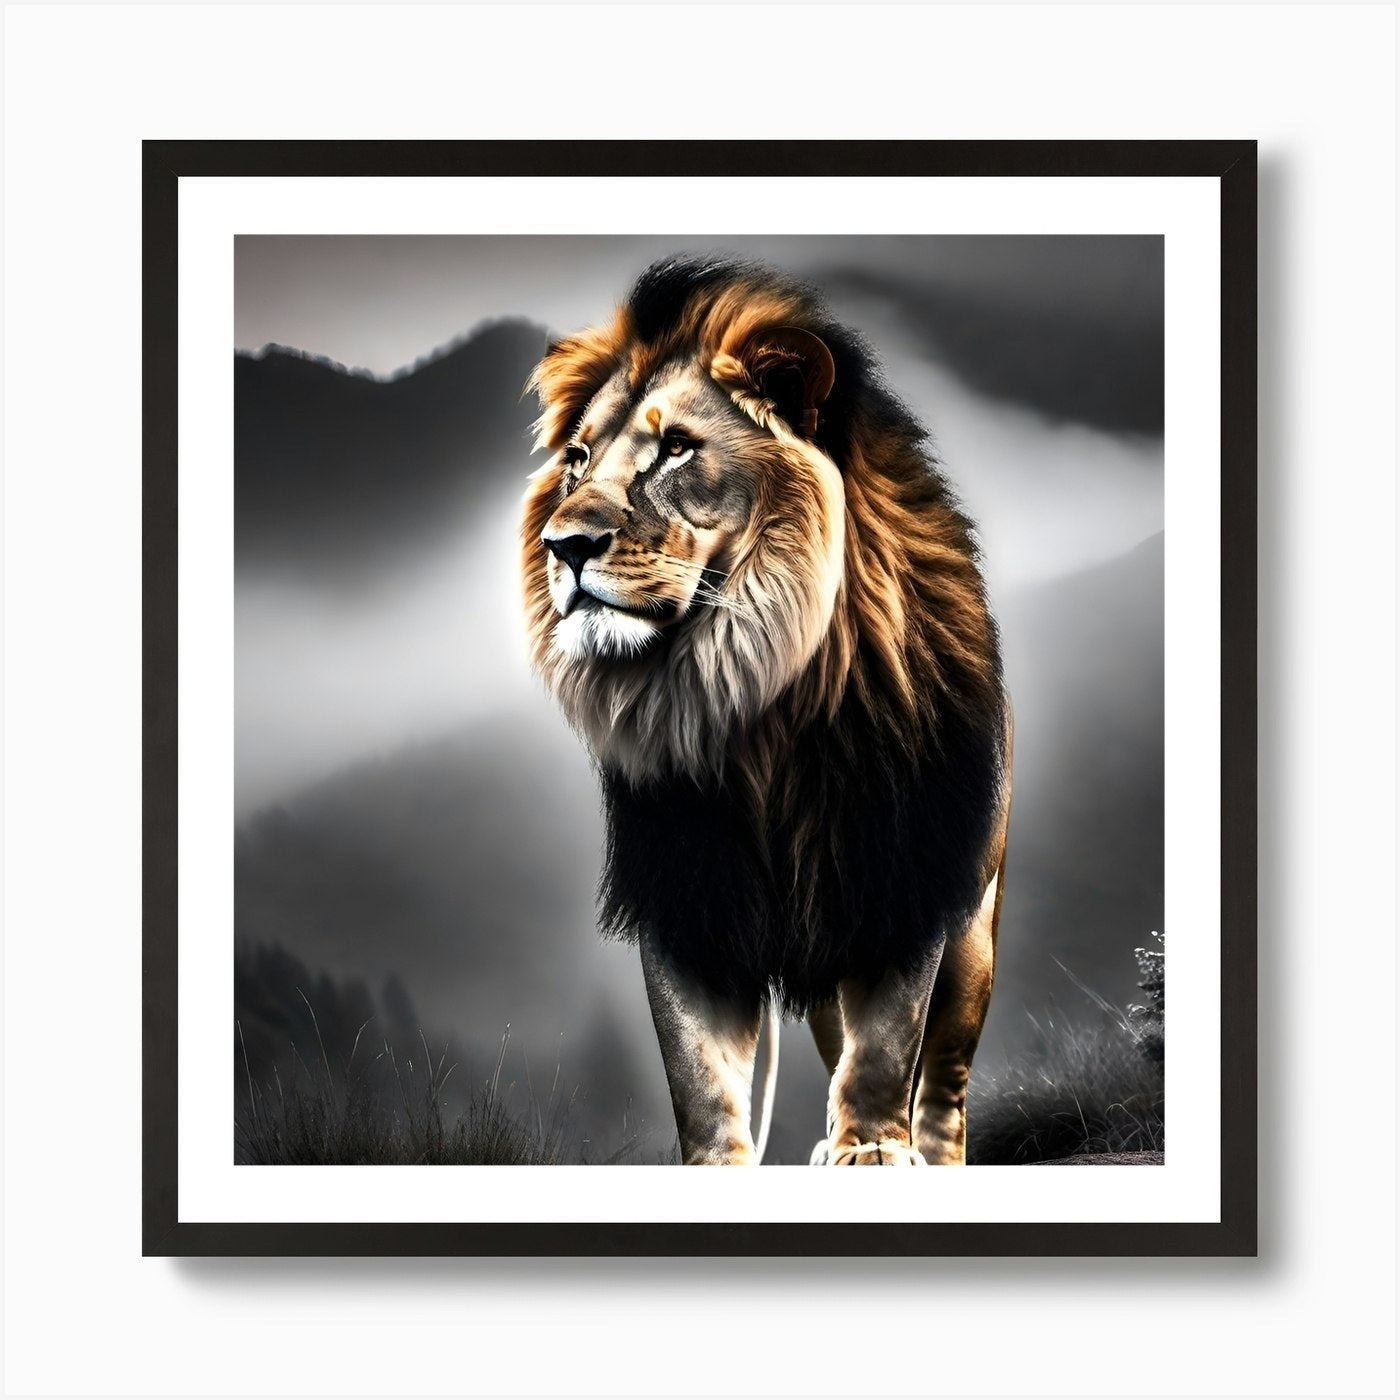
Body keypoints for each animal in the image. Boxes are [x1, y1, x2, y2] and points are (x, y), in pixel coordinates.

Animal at [520, 257, 1011, 1166]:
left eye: (677, 448)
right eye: (577, 458)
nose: (562, 546)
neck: (753, 700)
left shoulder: (903, 871)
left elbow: (889, 1039)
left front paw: (872, 1150)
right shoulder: (689, 893)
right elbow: (698, 1071)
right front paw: (721, 1164)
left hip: (973, 928)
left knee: (945, 1075)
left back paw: (925, 1151)